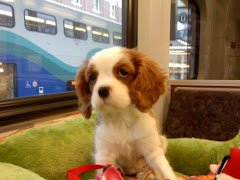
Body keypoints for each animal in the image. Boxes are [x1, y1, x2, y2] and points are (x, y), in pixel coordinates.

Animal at [76, 47, 177, 179]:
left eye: (123, 72)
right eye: (92, 77)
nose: (102, 90)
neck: (121, 117)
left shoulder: (153, 151)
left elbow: (165, 171)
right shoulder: (104, 155)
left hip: (162, 141)